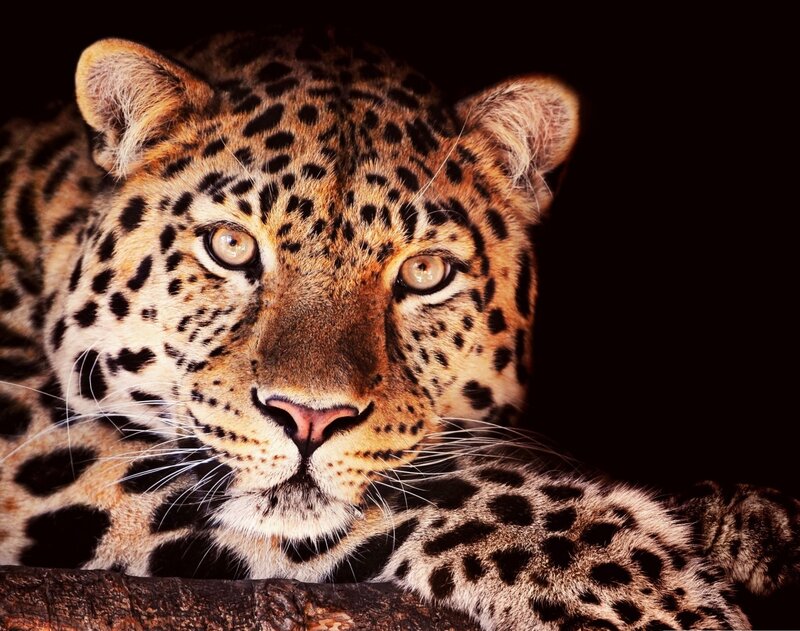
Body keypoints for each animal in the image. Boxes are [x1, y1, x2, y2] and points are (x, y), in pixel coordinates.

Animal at [0, 29, 797, 629]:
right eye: (229, 246)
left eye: (425, 272)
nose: (308, 418)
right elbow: (429, 489)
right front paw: (634, 581)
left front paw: (745, 523)